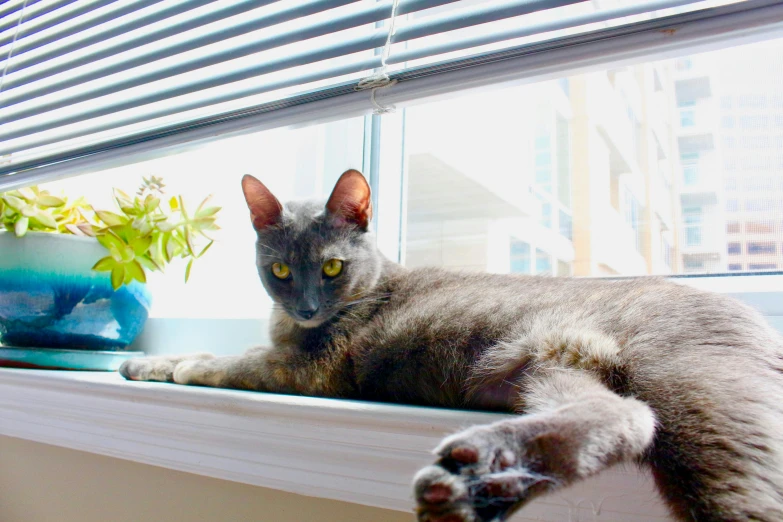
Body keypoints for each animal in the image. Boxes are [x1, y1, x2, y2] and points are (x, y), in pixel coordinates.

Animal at [119, 169, 783, 516]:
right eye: (279, 270)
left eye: (331, 267)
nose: (306, 308)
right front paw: (147, 363)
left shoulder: (306, 369)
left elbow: (230, 360)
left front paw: (175, 365)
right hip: (546, 366)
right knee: (624, 418)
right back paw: (483, 481)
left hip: (695, 398)